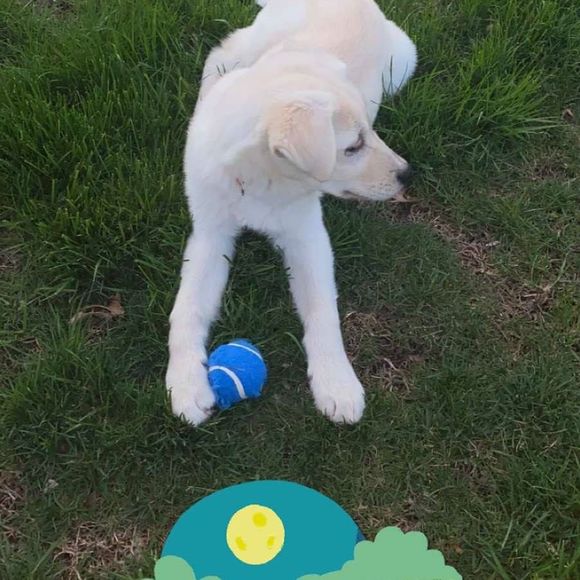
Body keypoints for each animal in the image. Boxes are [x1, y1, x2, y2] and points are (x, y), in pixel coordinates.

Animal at [166, 0, 417, 426]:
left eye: (369, 132)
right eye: (352, 148)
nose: (407, 175)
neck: (257, 182)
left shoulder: (307, 236)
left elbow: (322, 309)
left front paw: (336, 383)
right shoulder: (210, 235)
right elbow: (185, 309)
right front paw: (185, 384)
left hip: (402, 62)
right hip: (255, 41)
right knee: (222, 52)